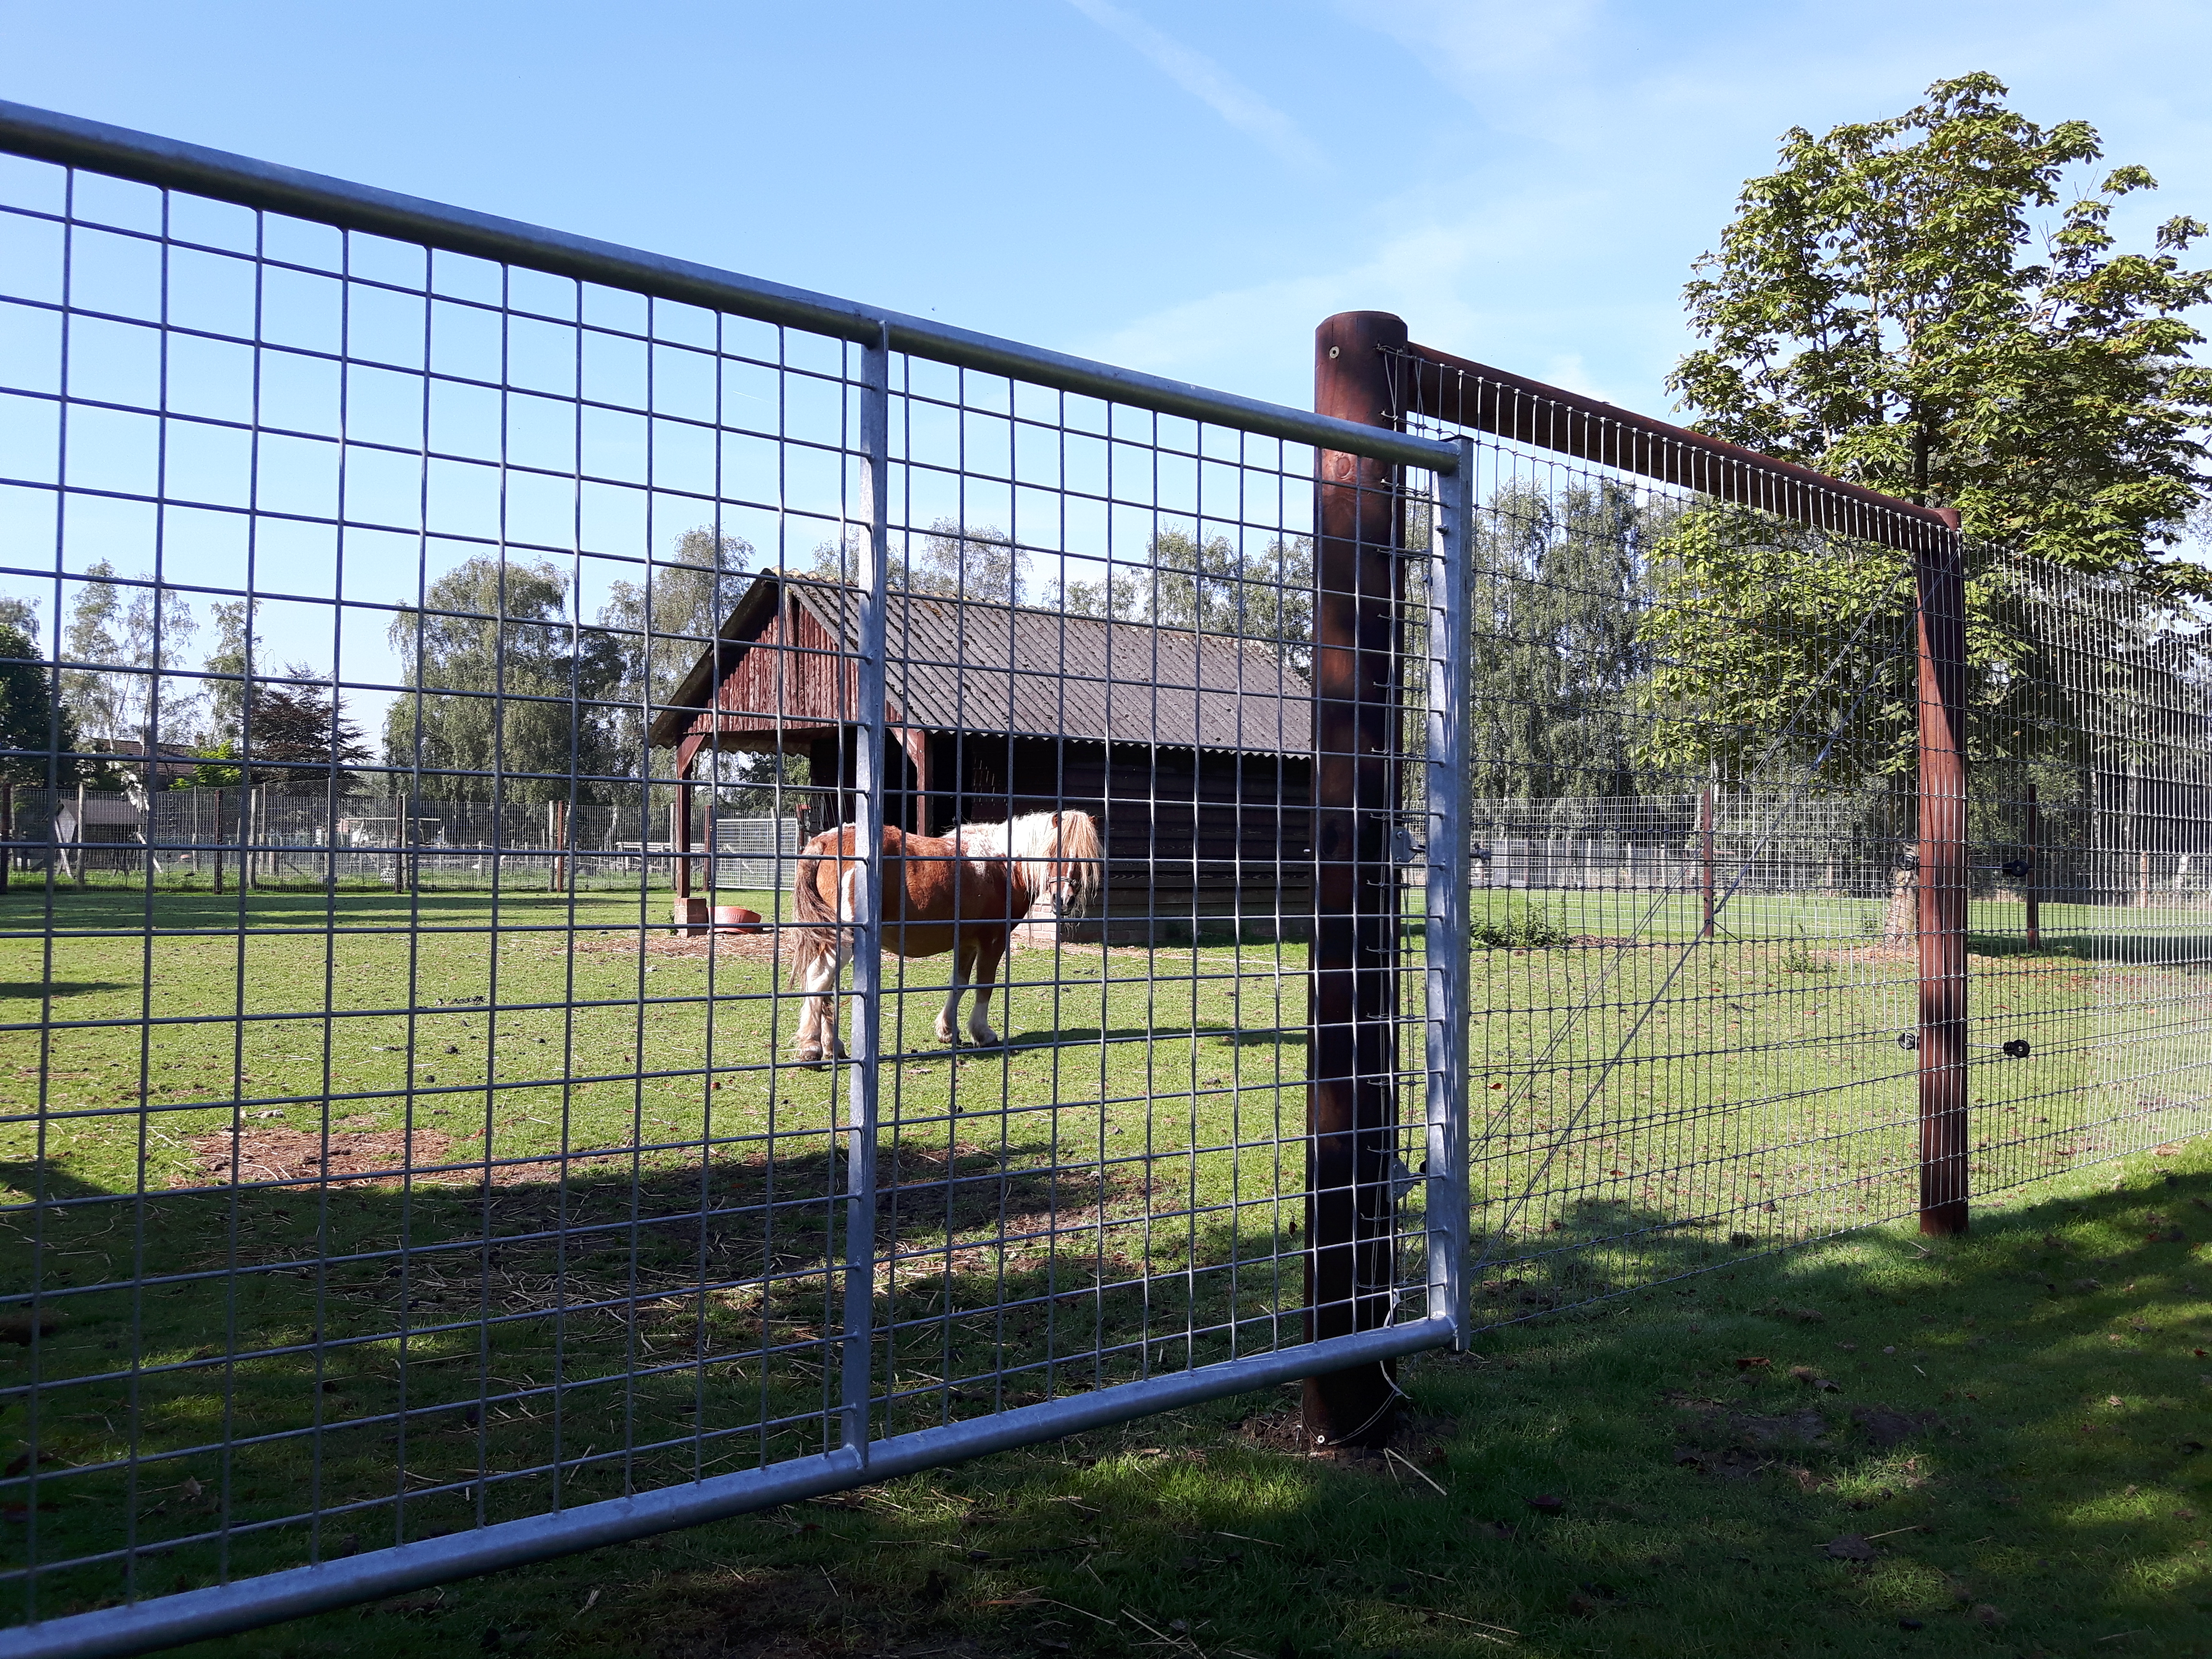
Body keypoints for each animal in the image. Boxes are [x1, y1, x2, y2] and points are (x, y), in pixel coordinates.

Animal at [792, 814, 1106, 1066]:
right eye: (1054, 850)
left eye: (1084, 858)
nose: (1064, 900)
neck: (1002, 865)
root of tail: (823, 841)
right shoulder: (993, 940)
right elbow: (984, 986)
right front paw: (982, 1033)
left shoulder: (966, 943)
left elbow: (959, 983)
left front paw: (947, 1030)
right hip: (843, 941)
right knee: (818, 978)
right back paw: (812, 1046)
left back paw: (833, 1046)